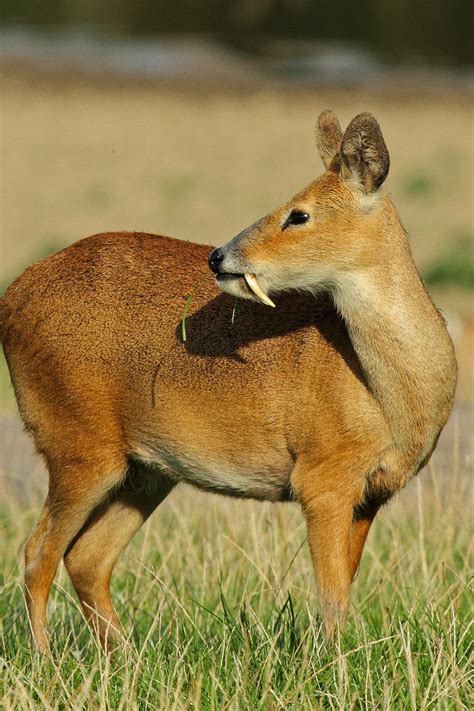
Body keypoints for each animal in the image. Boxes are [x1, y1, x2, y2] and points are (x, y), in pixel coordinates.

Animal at [0, 111, 457, 653]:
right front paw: (331, 665)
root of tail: (11, 299)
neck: (389, 396)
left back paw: (126, 659)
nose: (219, 256)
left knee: (85, 558)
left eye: (298, 215)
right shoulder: (322, 476)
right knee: (37, 554)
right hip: (76, 443)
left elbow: (343, 586)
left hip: (145, 471)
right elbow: (331, 597)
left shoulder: (373, 493)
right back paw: (47, 661)